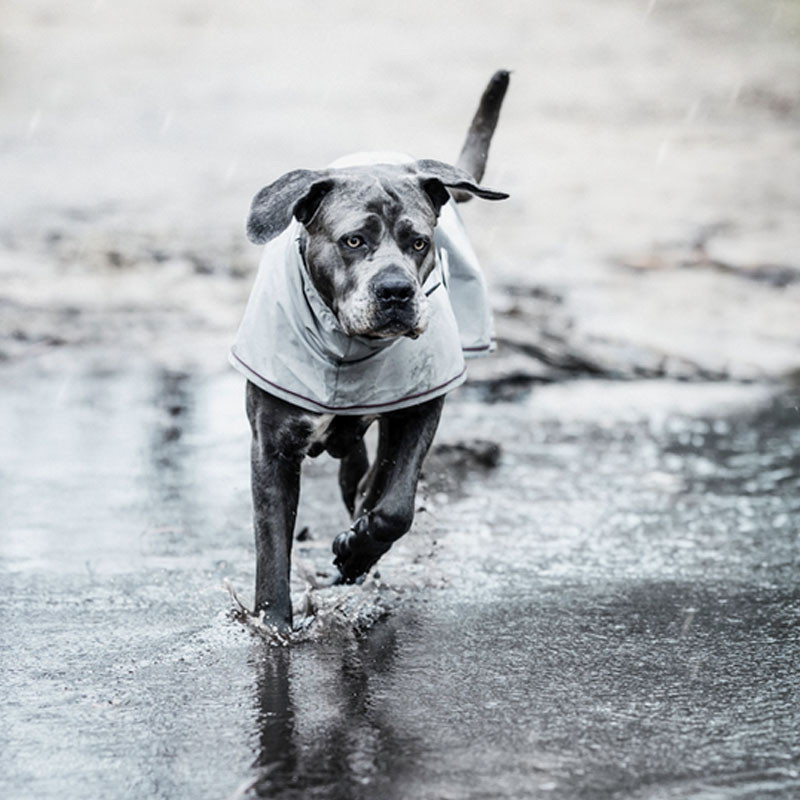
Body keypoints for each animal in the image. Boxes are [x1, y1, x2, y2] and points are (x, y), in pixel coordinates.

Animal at [231, 70, 510, 632]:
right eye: (353, 241)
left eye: (419, 242)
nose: (396, 291)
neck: (345, 344)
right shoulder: (271, 445)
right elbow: (272, 545)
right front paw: (274, 627)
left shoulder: (421, 408)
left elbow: (395, 505)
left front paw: (357, 547)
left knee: (369, 482)